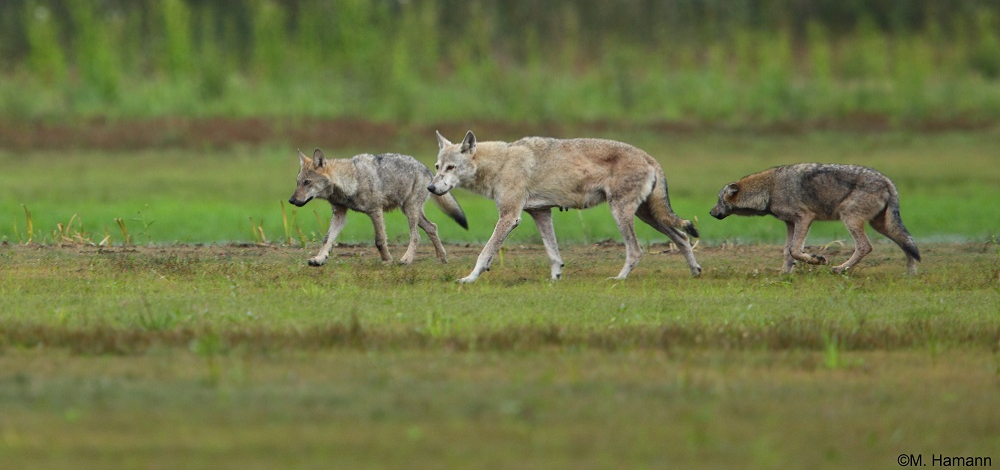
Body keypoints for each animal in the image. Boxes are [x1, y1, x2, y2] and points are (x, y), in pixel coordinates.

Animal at [286, 149, 464, 266]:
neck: (352, 179)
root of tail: (427, 169)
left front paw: (387, 259)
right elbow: (326, 239)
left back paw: (406, 259)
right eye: (298, 182)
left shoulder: (375, 211)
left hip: (410, 210)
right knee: (432, 227)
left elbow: (379, 240)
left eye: (307, 182)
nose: (291, 200)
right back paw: (442, 257)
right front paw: (319, 259)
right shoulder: (339, 215)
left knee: (416, 236)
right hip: (410, 210)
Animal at [430, 130, 704, 282]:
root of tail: (650, 157)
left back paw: (619, 279)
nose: (431, 188)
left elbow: (484, 252)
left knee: (636, 250)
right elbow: (553, 254)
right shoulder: (541, 213)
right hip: (648, 215)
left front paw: (469, 279)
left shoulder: (510, 217)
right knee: (682, 238)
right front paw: (555, 278)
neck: (500, 163)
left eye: (451, 168)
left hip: (622, 213)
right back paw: (695, 272)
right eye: (437, 167)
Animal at [708, 163, 916, 276]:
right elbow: (787, 251)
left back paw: (840, 269)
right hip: (881, 225)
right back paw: (910, 274)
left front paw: (817, 260)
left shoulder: (805, 218)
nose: (710, 212)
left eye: (719, 200)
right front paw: (784, 274)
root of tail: (887, 180)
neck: (769, 190)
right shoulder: (790, 223)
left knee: (866, 246)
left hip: (850, 218)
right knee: (908, 243)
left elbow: (794, 250)